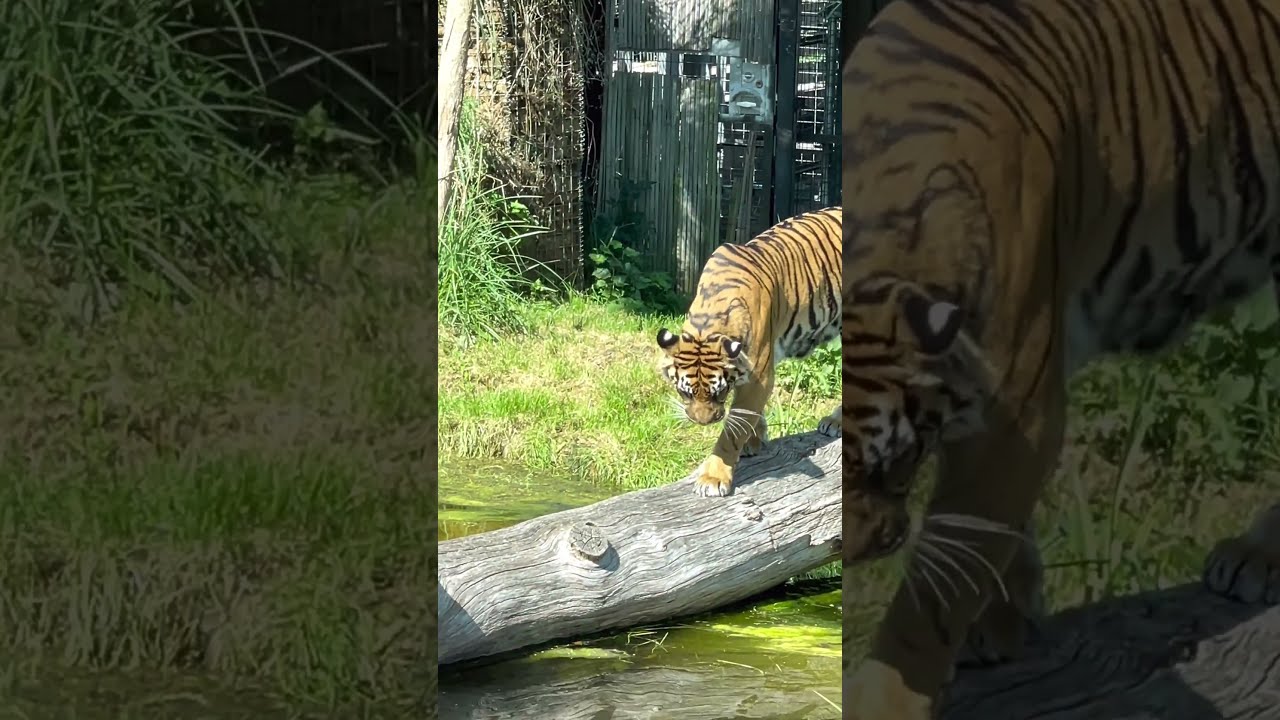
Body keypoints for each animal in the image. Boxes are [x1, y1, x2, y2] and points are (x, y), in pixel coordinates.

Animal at [657, 206, 842, 497]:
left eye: (718, 393)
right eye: (684, 392)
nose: (702, 422)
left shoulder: (759, 373)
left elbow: (735, 425)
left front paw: (714, 475)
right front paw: (755, 439)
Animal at [839, 0, 1280, 717]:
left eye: (892, 461)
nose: (853, 552)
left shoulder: (1016, 408)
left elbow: (942, 578)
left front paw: (889, 693)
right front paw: (1002, 615)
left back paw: (1258, 556)